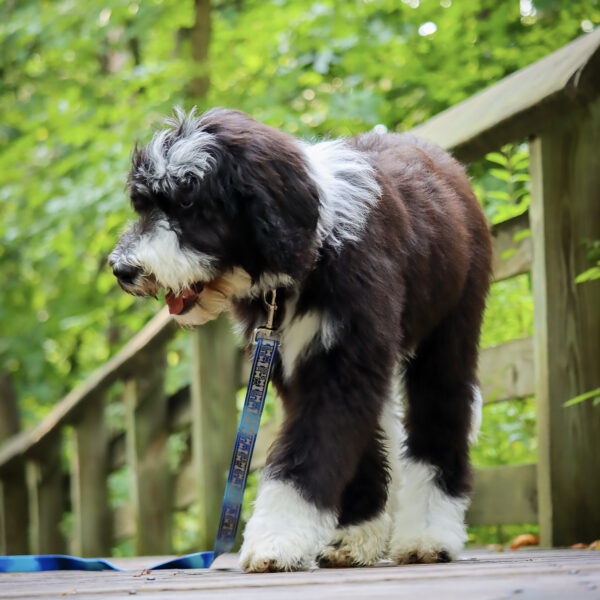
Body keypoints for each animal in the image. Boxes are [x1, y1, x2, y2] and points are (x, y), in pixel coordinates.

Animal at [109, 106, 492, 572]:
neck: (313, 247)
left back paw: (428, 535)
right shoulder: (305, 361)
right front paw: (350, 534)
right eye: (144, 205)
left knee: (441, 413)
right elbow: (352, 446)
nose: (122, 270)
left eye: (186, 201)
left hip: (450, 326)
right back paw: (362, 537)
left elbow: (309, 451)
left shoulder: (341, 361)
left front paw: (275, 541)